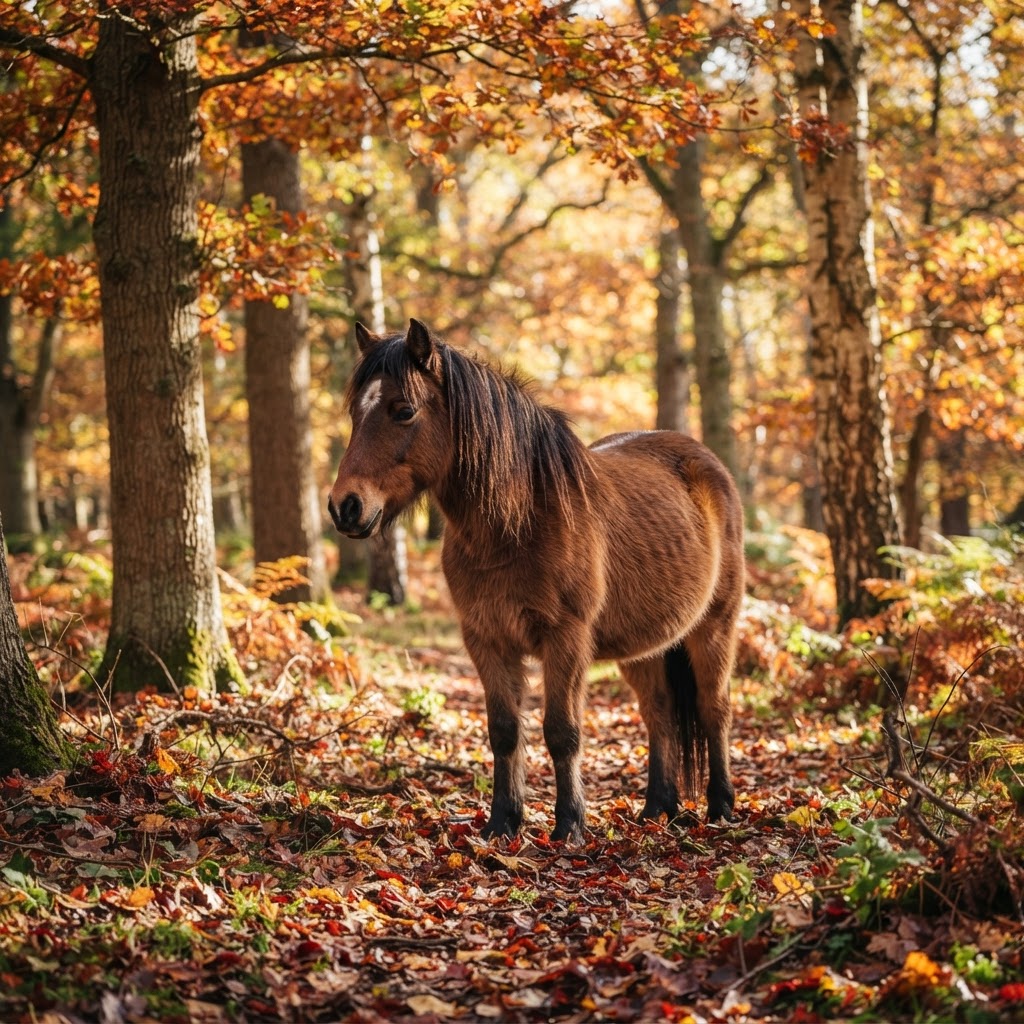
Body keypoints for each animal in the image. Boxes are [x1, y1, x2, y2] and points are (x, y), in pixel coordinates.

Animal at [328, 319, 744, 843]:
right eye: (354, 412)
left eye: (403, 410)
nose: (345, 507)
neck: (518, 523)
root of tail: (706, 463)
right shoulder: (486, 639)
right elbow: (504, 730)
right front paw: (502, 822)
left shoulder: (565, 639)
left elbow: (561, 732)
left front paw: (569, 825)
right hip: (646, 646)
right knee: (660, 713)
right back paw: (657, 809)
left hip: (715, 628)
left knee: (714, 709)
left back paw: (721, 807)